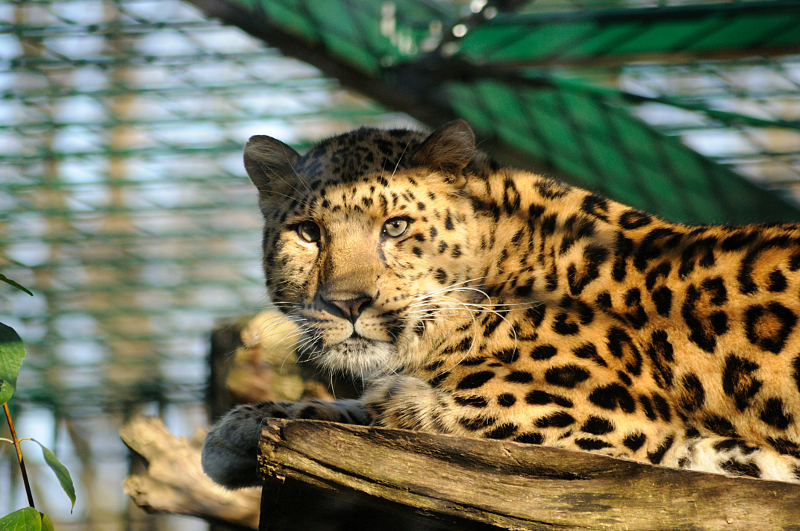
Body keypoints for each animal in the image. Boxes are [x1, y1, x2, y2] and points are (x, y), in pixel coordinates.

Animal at [202, 119, 800, 489]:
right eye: (308, 233)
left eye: (395, 227)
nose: (347, 305)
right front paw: (242, 426)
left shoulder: (622, 426)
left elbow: (402, 413)